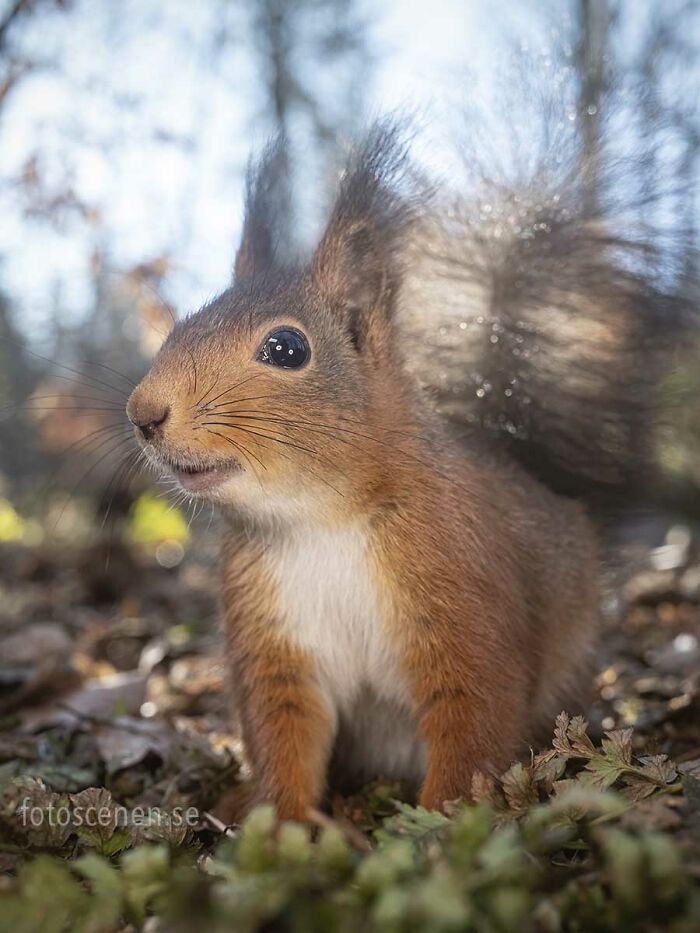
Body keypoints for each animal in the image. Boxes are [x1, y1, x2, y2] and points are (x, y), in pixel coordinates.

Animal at [125, 118, 686, 821]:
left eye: (286, 348)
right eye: (182, 324)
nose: (142, 412)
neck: (321, 520)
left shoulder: (465, 598)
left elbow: (473, 719)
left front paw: (443, 821)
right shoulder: (273, 637)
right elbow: (282, 731)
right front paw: (281, 823)